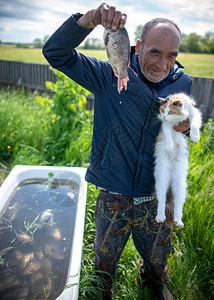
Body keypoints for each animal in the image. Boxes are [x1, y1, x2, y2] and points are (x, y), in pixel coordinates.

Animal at [155, 92, 201, 226]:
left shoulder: (194, 113)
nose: (164, 116)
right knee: (161, 200)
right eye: (162, 111)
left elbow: (194, 123)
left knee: (178, 205)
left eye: (170, 112)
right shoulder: (165, 124)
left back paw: (178, 221)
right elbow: (167, 134)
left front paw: (195, 137)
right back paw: (160, 217)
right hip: (161, 180)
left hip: (180, 186)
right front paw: (169, 147)